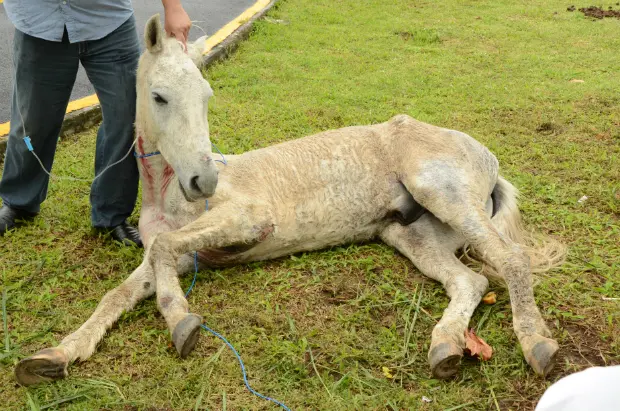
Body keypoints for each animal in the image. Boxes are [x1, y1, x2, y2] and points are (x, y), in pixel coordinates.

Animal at [14, 14, 568, 388]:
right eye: (159, 96)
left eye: (208, 96)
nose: (204, 181)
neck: (168, 194)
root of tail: (486, 158)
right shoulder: (175, 254)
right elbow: (123, 288)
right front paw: (55, 356)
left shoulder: (247, 219)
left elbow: (167, 251)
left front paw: (181, 322)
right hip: (411, 231)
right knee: (470, 280)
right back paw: (446, 348)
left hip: (443, 193)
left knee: (510, 259)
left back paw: (538, 345)